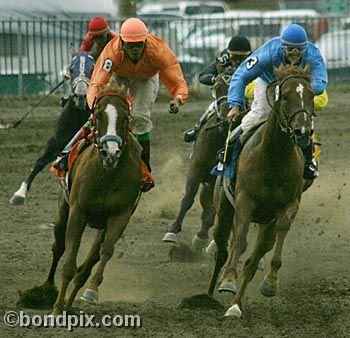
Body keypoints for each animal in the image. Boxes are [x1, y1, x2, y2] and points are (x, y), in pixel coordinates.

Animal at [42, 81, 142, 314]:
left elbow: (105, 251)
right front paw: (56, 309)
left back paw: (71, 301)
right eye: (98, 115)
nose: (111, 153)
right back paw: (47, 289)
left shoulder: (120, 215)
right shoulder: (78, 212)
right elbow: (69, 261)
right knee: (58, 247)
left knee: (88, 263)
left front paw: (92, 290)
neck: (106, 176)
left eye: (125, 117)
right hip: (63, 210)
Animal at [209, 63, 316, 316]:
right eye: (285, 96)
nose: (302, 131)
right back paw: (212, 291)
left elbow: (280, 233)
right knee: (223, 246)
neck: (273, 157)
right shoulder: (244, 201)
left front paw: (270, 282)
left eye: (311, 96)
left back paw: (236, 305)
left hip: (266, 225)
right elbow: (239, 242)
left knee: (253, 258)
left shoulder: (288, 205)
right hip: (224, 210)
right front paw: (228, 280)